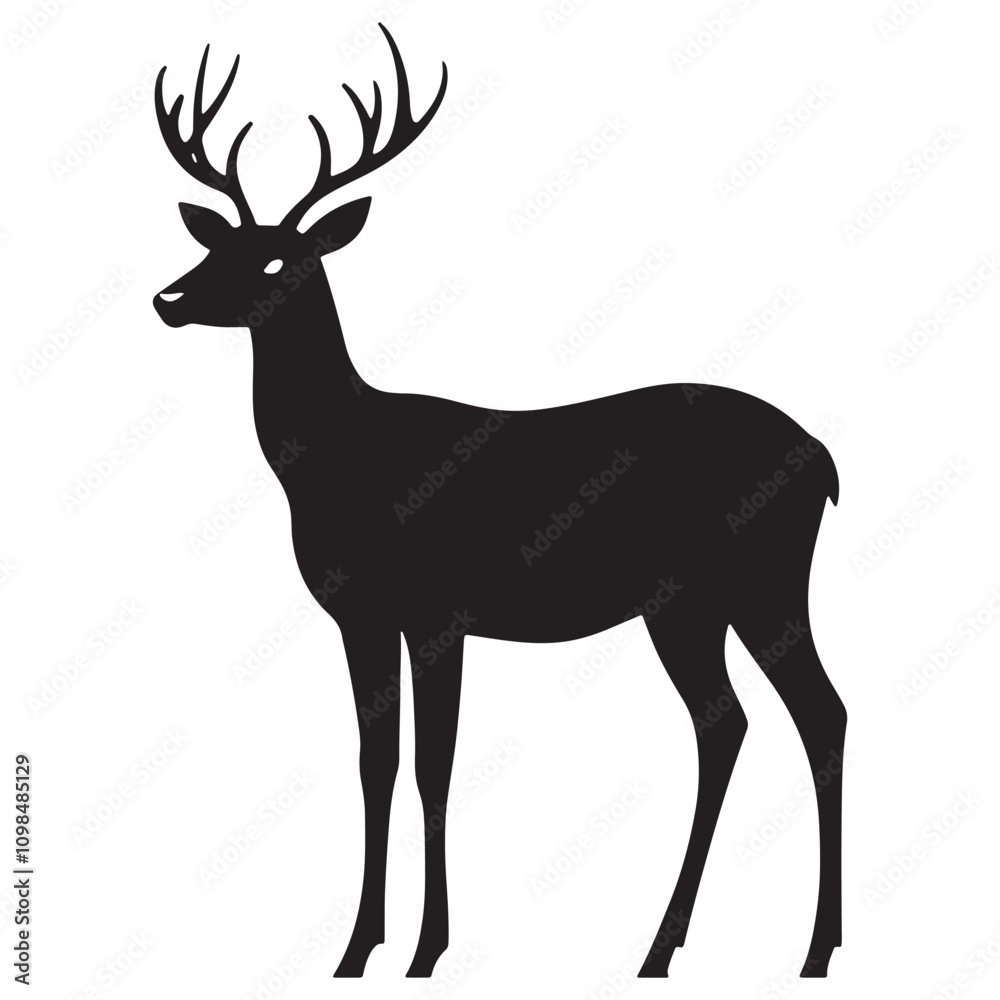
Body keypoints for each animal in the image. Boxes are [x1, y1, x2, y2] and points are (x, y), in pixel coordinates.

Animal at [153, 24, 846, 980]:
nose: (168, 297)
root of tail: (825, 461)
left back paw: (812, 949)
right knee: (730, 723)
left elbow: (433, 767)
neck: (343, 463)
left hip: (762, 578)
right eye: (215, 244)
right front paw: (355, 949)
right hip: (688, 604)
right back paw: (665, 947)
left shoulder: (438, 608)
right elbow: (376, 761)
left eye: (276, 256)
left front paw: (426, 950)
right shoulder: (360, 614)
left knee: (818, 713)